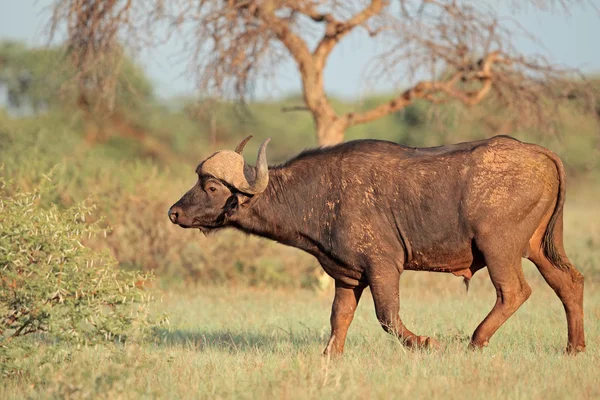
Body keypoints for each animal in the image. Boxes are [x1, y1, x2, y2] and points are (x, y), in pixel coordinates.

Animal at [168, 136, 584, 354]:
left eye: (211, 187)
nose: (174, 212)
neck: (319, 194)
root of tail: (540, 152)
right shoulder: (348, 277)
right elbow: (339, 318)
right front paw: (329, 357)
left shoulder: (384, 267)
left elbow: (388, 317)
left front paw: (426, 342)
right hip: (539, 248)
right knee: (569, 283)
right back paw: (574, 347)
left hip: (499, 248)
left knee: (514, 291)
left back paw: (475, 341)